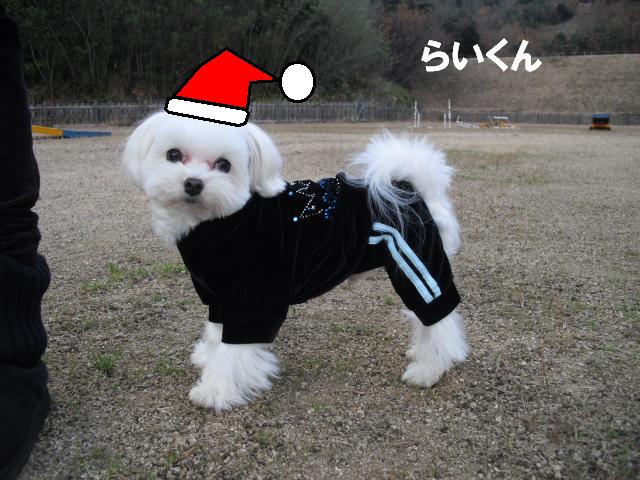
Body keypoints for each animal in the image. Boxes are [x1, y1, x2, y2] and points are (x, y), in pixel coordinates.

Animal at [122, 111, 468, 411]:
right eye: (173, 155)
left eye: (223, 165)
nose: (193, 183)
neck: (222, 223)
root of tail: (409, 186)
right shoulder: (219, 294)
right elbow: (215, 332)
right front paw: (207, 356)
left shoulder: (253, 301)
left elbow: (233, 351)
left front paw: (215, 391)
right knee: (425, 320)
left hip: (417, 262)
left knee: (439, 318)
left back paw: (428, 369)